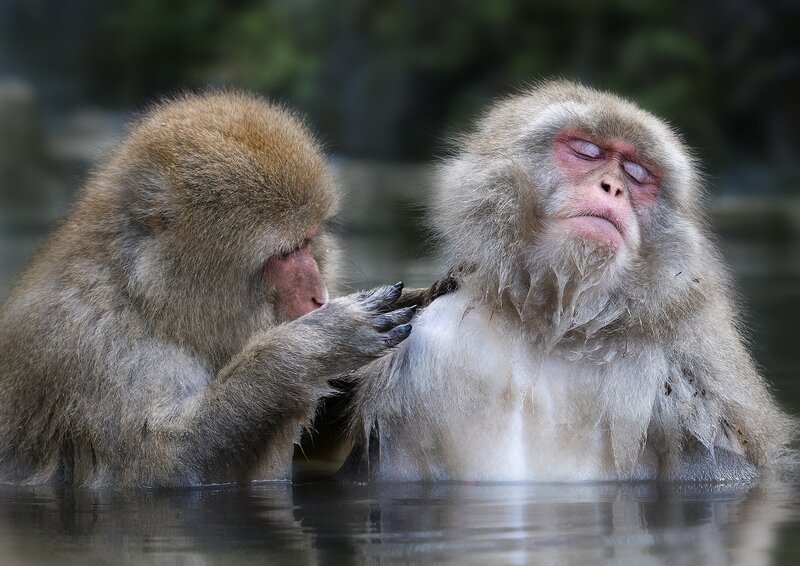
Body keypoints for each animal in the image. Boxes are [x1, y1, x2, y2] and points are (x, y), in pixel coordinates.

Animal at [0, 90, 441, 488]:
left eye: (309, 241)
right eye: (285, 253)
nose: (319, 297)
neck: (143, 298)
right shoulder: (90, 345)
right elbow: (166, 470)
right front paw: (313, 345)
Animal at [342, 81, 796, 482]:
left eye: (637, 173)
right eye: (586, 151)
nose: (611, 188)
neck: (553, 325)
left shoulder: (687, 380)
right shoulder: (426, 336)